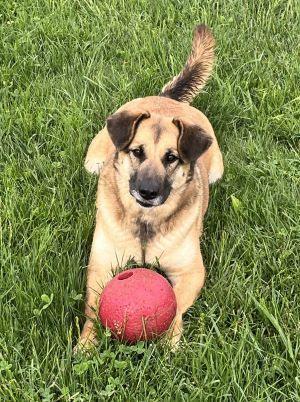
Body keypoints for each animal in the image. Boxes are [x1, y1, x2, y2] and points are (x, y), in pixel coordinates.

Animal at [78, 25, 224, 350]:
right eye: (137, 152)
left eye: (171, 158)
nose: (147, 192)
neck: (145, 223)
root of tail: (168, 99)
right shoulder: (100, 267)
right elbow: (93, 307)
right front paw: (86, 343)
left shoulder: (191, 272)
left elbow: (176, 304)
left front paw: (170, 341)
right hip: (91, 161)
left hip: (218, 171)